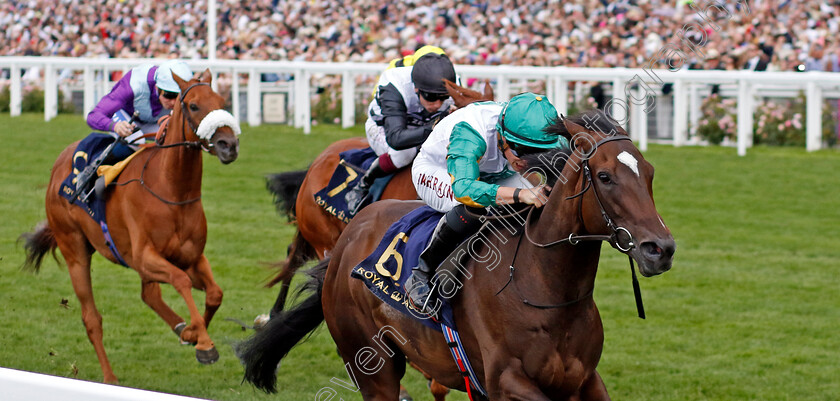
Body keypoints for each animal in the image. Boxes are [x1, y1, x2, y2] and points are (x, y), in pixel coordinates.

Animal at [19, 70, 241, 382]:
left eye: (222, 102)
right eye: (194, 106)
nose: (228, 145)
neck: (172, 190)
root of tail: (57, 168)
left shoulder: (190, 257)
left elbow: (215, 293)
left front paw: (192, 333)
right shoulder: (145, 257)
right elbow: (181, 281)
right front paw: (204, 344)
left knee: (149, 294)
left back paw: (181, 328)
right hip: (74, 249)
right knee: (92, 318)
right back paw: (110, 378)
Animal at [238, 109, 676, 400]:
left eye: (651, 173)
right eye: (604, 176)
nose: (661, 249)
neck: (541, 288)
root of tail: (351, 239)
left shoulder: (584, 380)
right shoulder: (505, 382)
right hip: (372, 365)